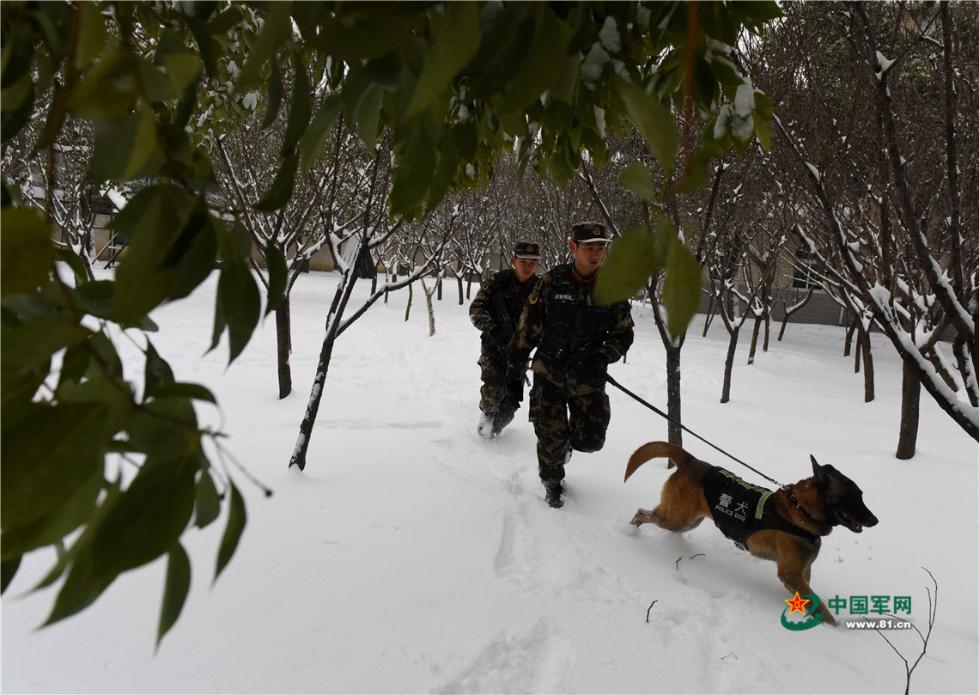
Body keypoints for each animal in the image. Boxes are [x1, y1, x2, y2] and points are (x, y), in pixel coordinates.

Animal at [628, 444, 880, 628]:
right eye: (852, 498)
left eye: (861, 495)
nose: (875, 520)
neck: (802, 510)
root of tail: (692, 461)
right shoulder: (791, 575)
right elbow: (821, 609)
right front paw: (835, 628)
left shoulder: (803, 572)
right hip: (676, 519)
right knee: (642, 513)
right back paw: (631, 531)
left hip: (685, 522)